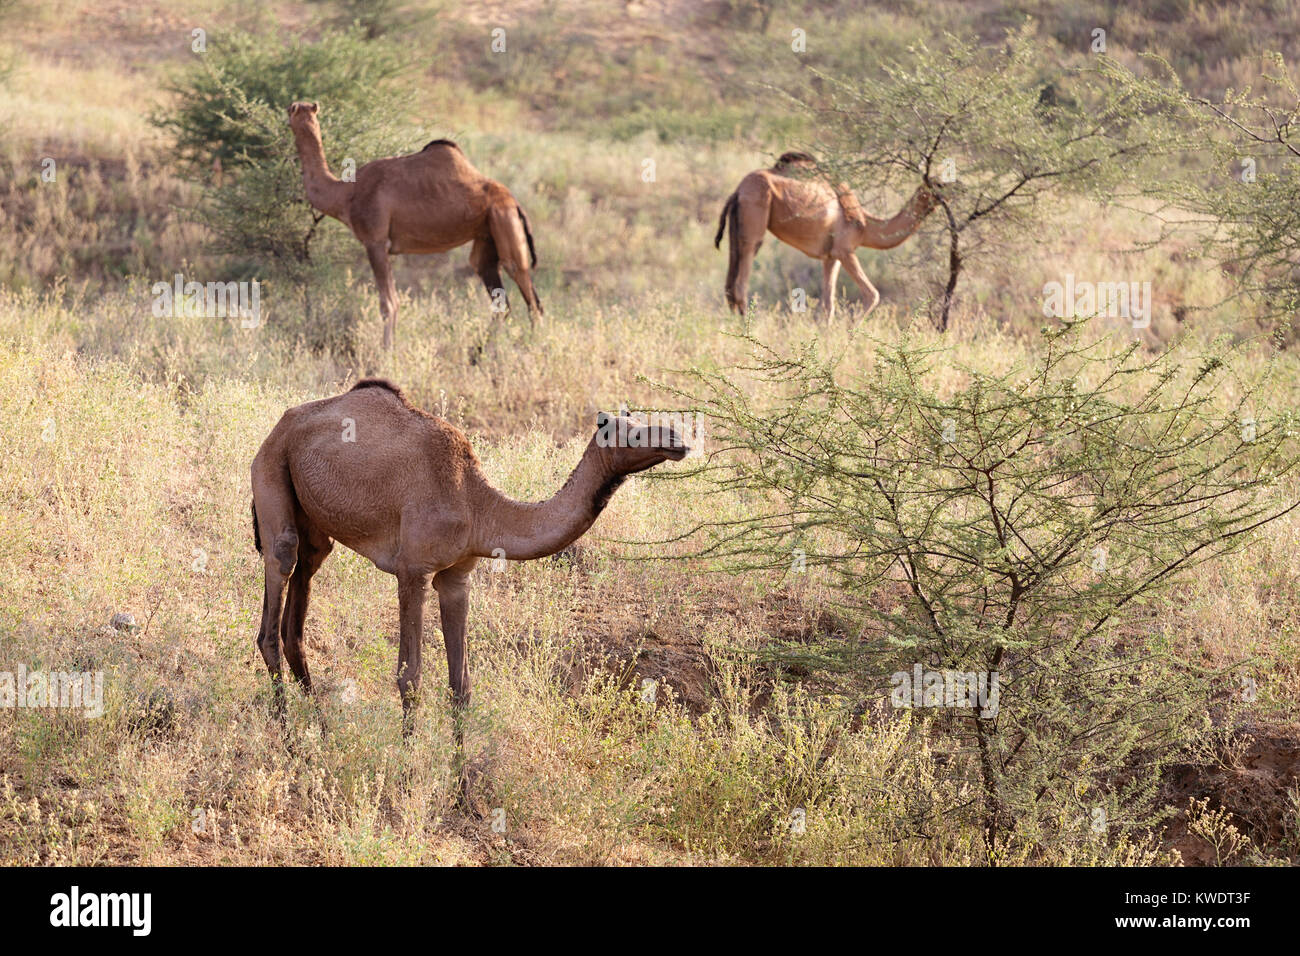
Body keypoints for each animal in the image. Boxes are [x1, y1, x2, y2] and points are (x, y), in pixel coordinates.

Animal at [287, 102, 540, 348]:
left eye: (290, 112)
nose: (288, 111)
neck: (346, 193)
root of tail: (515, 202)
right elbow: (394, 302)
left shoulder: (375, 242)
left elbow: (389, 304)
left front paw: (386, 355)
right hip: (487, 235)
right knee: (496, 293)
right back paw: (478, 354)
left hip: (504, 220)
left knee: (530, 297)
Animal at [717, 151, 941, 319]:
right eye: (940, 184)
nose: (952, 191)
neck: (864, 226)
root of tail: (738, 191)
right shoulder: (845, 249)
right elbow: (872, 295)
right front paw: (850, 335)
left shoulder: (831, 257)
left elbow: (828, 306)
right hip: (755, 221)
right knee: (741, 285)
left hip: (735, 231)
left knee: (729, 287)